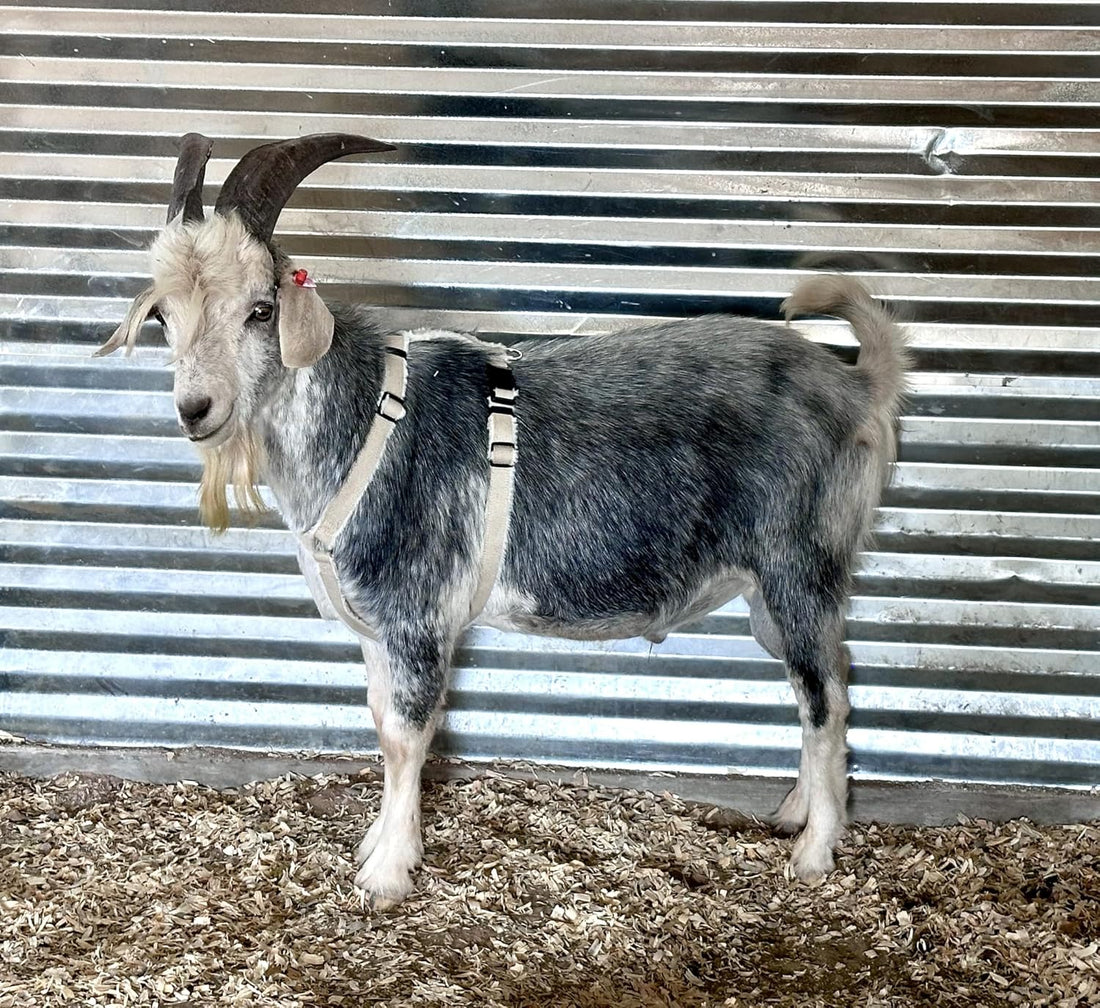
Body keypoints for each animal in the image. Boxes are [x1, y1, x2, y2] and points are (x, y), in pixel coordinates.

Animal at [99, 133, 910, 908]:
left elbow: (406, 737)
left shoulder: (419, 614)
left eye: (260, 310)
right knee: (821, 687)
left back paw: (815, 854)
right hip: (773, 593)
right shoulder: (375, 627)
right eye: (164, 315)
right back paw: (795, 813)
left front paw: (387, 874)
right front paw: (374, 845)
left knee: (826, 697)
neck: (365, 421)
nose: (195, 410)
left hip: (799, 563)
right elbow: (379, 724)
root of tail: (855, 386)